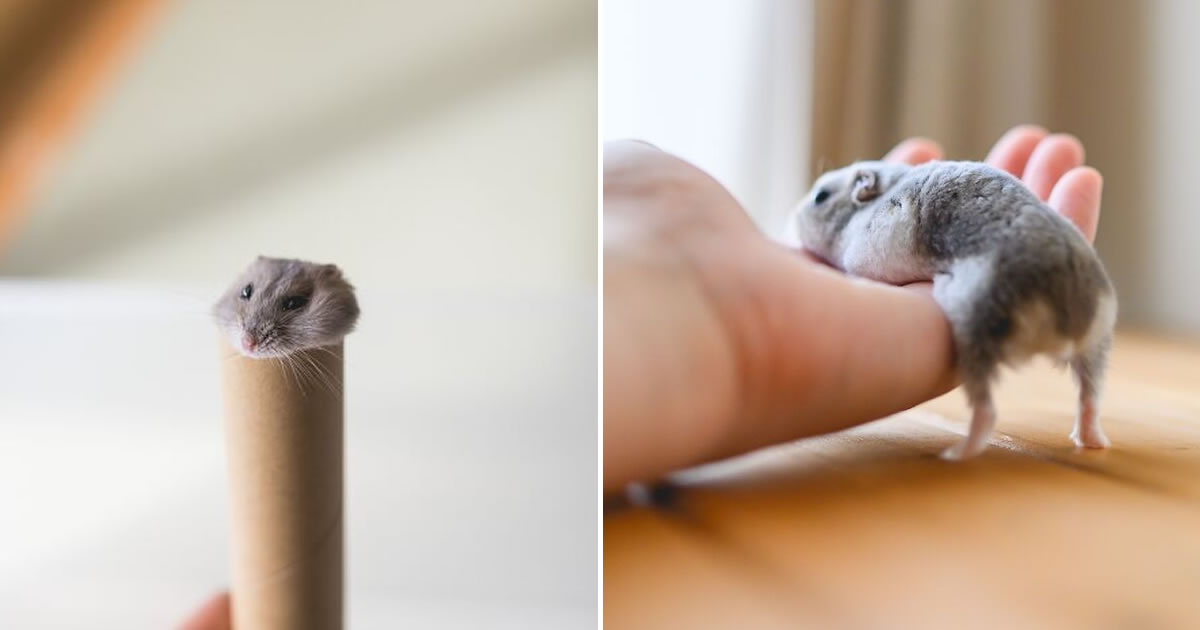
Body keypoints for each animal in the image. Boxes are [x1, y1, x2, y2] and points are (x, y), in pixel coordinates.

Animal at [794, 160, 1117, 460]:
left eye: (821, 196)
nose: (792, 218)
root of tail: (1069, 313)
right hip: (1098, 339)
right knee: (1090, 396)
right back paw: (1092, 440)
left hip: (974, 324)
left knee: (986, 410)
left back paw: (957, 453)